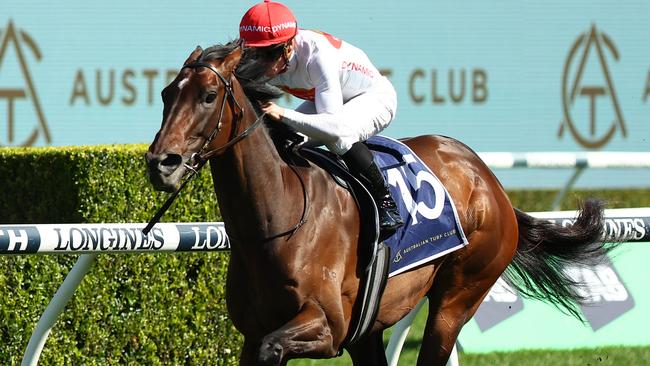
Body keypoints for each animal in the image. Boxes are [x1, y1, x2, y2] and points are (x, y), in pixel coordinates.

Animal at [144, 41, 612, 364]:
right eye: (166, 93)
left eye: (208, 96)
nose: (160, 163)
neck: (278, 221)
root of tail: (488, 180)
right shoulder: (255, 331)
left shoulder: (326, 327)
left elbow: (274, 347)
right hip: (372, 325)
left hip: (458, 296)